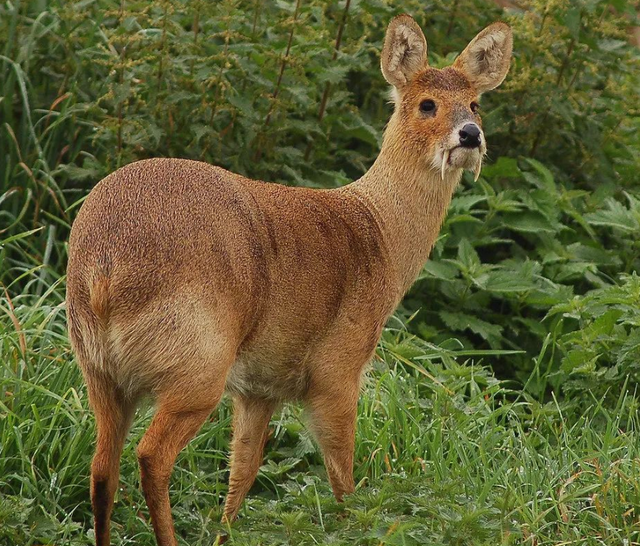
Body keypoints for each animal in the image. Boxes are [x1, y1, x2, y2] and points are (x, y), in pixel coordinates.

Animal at [65, 15, 512, 544]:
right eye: (427, 103)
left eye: (476, 103)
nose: (470, 135)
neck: (378, 233)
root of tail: (103, 268)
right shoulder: (338, 370)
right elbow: (343, 480)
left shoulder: (261, 387)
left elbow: (243, 472)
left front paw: (225, 535)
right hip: (196, 363)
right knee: (151, 457)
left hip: (100, 370)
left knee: (101, 468)